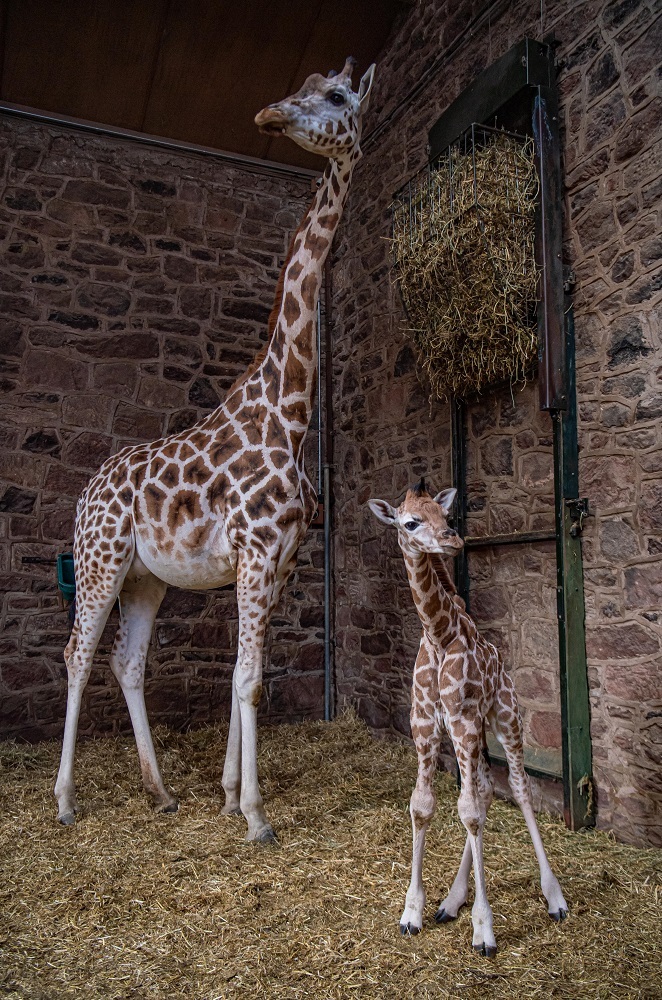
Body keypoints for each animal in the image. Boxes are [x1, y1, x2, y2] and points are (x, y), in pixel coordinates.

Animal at [54, 52, 376, 836]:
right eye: (304, 87)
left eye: (336, 94)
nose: (270, 115)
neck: (289, 412)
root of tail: (85, 494)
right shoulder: (256, 552)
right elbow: (252, 679)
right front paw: (255, 816)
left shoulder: (279, 562)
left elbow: (241, 676)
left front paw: (229, 794)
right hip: (100, 558)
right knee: (78, 652)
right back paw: (66, 800)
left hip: (145, 578)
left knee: (126, 661)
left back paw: (161, 791)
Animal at [370, 480, 568, 956]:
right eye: (410, 522)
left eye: (447, 516)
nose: (452, 540)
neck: (439, 634)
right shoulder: (425, 724)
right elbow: (425, 806)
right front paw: (413, 912)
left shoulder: (462, 721)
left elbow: (470, 811)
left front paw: (484, 930)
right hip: (478, 734)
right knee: (484, 791)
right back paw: (452, 900)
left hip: (506, 719)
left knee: (517, 787)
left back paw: (554, 897)